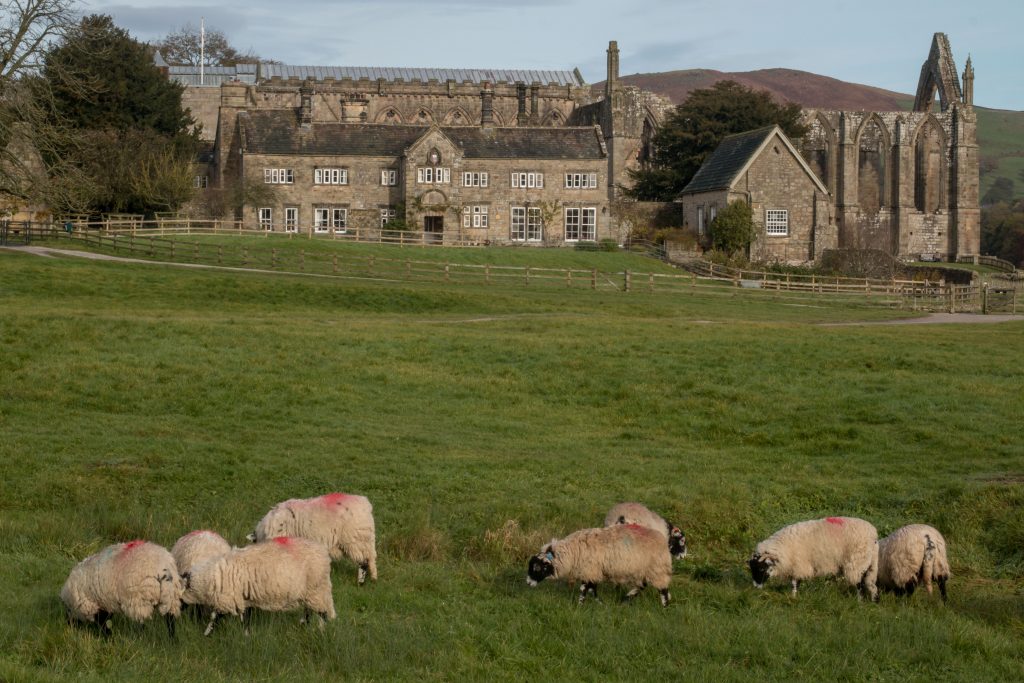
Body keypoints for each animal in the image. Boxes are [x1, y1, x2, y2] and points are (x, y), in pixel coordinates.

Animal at [183, 532, 335, 634]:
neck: (211, 577)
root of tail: (323, 553)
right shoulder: (244, 597)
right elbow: (245, 618)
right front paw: (246, 635)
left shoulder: (229, 598)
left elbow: (215, 616)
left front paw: (207, 633)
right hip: (311, 591)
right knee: (309, 609)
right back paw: (304, 624)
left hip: (316, 588)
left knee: (321, 612)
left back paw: (320, 629)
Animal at [246, 493, 376, 585]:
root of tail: (365, 504)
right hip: (366, 540)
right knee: (371, 559)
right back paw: (373, 578)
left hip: (355, 540)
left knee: (363, 561)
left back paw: (360, 582)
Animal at [524, 528, 675, 606]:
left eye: (537, 568)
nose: (528, 583)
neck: (572, 551)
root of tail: (664, 541)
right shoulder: (593, 572)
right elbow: (592, 589)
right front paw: (600, 603)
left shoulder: (589, 569)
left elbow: (584, 589)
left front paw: (580, 604)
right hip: (644, 570)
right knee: (642, 585)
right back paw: (627, 598)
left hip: (657, 569)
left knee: (663, 590)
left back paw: (665, 606)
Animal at [745, 516, 880, 602]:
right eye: (752, 569)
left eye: (761, 569)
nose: (755, 587)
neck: (783, 547)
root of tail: (873, 534)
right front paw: (793, 596)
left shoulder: (799, 564)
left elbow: (795, 582)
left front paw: (794, 596)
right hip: (871, 563)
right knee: (871, 583)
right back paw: (873, 600)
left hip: (857, 562)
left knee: (859, 583)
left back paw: (860, 602)